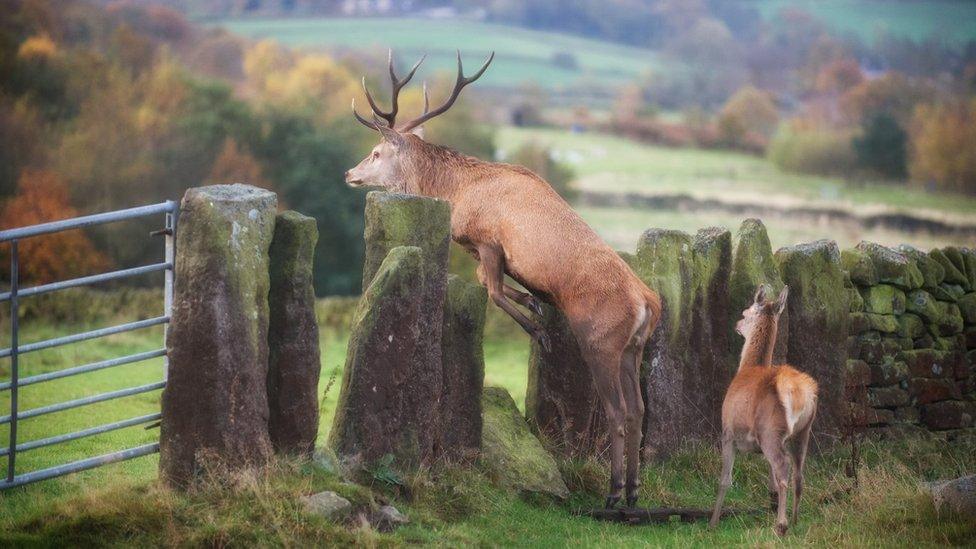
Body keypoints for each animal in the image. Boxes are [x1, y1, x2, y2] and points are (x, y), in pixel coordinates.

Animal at [346, 51, 664, 506]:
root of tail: (647, 304)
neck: (457, 195)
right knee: (639, 409)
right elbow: (499, 287)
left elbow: (494, 291)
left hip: (601, 341)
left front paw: (539, 330)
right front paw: (536, 304)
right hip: (633, 348)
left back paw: (614, 493)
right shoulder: (484, 251)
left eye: (375, 152)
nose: (349, 174)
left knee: (618, 410)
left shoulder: (488, 240)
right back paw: (634, 492)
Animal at [708, 284, 816, 532]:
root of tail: (798, 392)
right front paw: (772, 502)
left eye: (745, 312)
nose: (737, 325)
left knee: (783, 466)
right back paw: (795, 520)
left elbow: (725, 479)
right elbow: (770, 478)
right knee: (798, 474)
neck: (746, 368)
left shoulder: (727, 431)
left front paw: (713, 522)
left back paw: (781, 525)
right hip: (803, 431)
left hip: (770, 429)